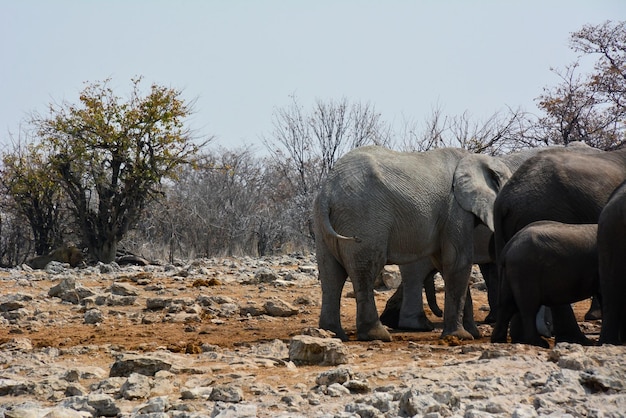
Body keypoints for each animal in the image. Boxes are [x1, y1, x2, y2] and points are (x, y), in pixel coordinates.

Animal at [312, 145, 512, 342]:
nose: (439, 313)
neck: (476, 158)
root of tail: (327, 189)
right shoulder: (455, 209)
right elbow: (458, 262)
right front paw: (460, 336)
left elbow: (447, 265)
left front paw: (471, 335)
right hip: (363, 217)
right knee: (366, 268)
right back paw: (377, 336)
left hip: (323, 225)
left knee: (331, 274)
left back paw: (333, 334)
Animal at [490, 220, 596, 348]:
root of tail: (508, 247)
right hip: (526, 270)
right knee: (528, 308)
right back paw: (539, 343)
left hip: (511, 272)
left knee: (506, 305)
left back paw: (498, 340)